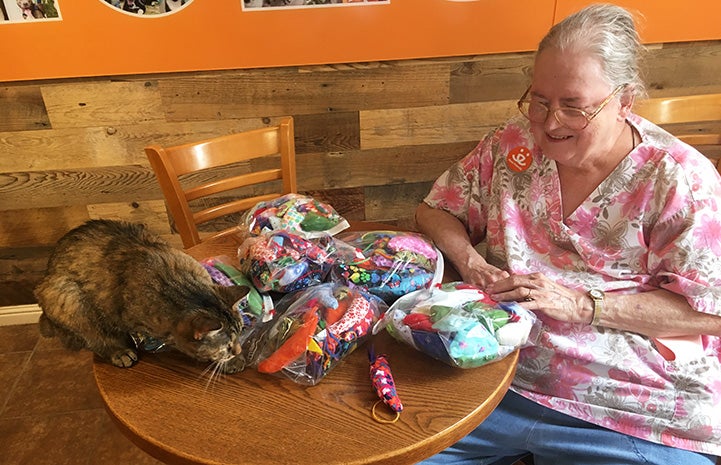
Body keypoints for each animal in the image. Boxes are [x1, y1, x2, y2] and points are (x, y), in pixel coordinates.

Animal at [34, 219, 250, 376]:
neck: (178, 288)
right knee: (96, 338)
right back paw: (119, 352)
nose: (239, 351)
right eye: (227, 346)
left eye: (240, 334)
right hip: (68, 297)